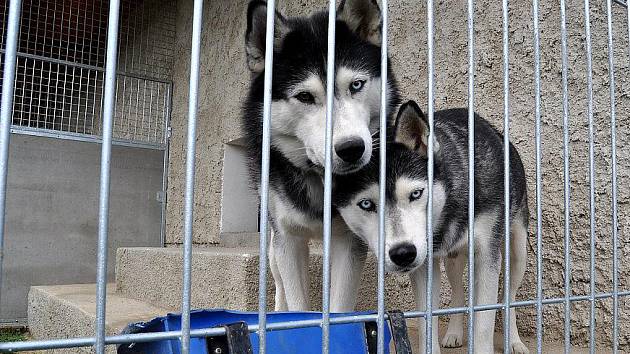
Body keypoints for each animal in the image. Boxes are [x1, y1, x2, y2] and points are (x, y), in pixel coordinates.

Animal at [334, 100, 532, 354]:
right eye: (366, 204)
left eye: (416, 194)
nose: (403, 253)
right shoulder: (424, 265)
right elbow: (428, 318)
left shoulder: (487, 256)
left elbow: (484, 324)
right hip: (453, 260)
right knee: (458, 291)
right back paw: (455, 332)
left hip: (517, 251)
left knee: (511, 295)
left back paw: (514, 341)